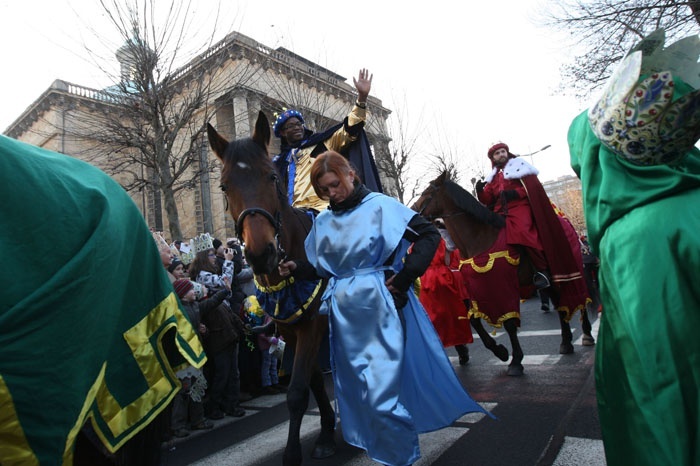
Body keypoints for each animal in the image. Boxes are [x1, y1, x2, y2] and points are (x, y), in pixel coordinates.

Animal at [206, 111, 334, 464]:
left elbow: (298, 393)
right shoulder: (292, 328)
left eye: (272, 177)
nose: (260, 254)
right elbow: (312, 383)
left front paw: (293, 453)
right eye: (224, 185)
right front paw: (326, 433)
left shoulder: (313, 324)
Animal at [412, 173, 592, 376]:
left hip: (571, 268)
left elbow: (509, 323)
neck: (480, 238)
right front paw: (500, 351)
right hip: (554, 279)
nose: (412, 211)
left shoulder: (503, 285)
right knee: (559, 301)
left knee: (580, 299)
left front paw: (515, 361)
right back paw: (566, 342)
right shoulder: (476, 289)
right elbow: (474, 319)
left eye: (427, 192)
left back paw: (586, 335)